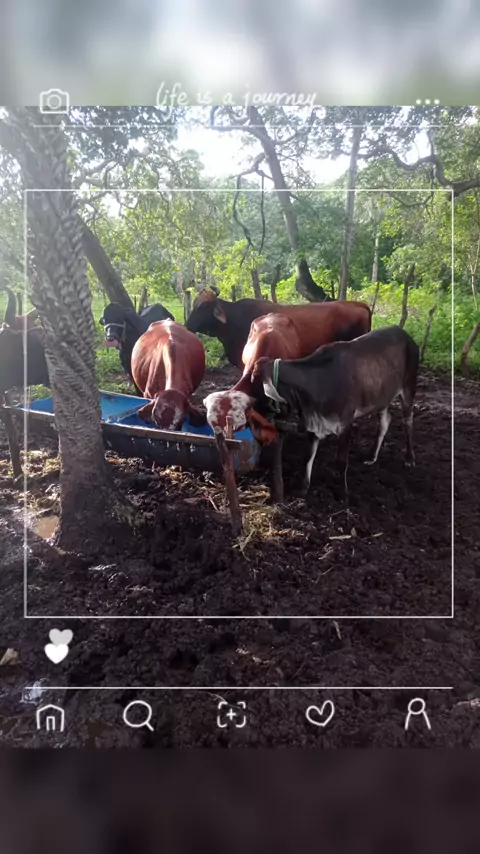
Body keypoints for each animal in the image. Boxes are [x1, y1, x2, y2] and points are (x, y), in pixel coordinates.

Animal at [254, 325, 419, 496]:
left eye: (254, 382)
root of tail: (404, 333)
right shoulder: (313, 426)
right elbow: (307, 457)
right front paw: (303, 489)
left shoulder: (345, 424)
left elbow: (341, 461)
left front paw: (343, 493)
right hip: (381, 398)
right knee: (385, 421)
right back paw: (372, 457)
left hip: (408, 389)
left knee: (408, 423)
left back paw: (409, 458)